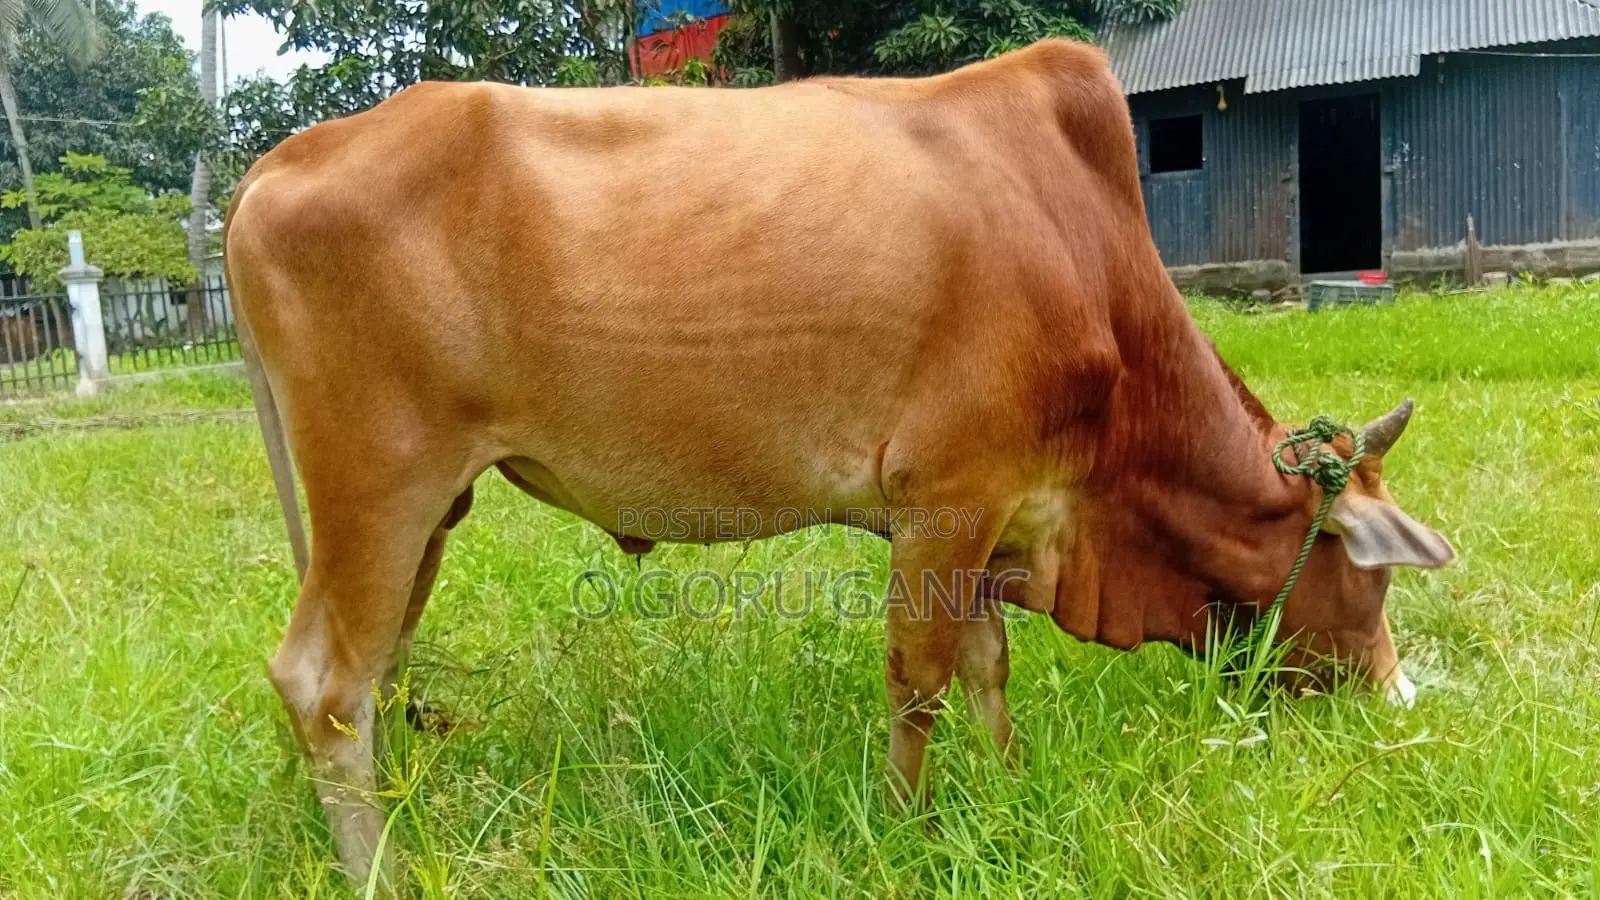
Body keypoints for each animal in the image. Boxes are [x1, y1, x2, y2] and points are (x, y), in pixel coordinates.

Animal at [223, 40, 1455, 890]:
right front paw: (909, 832)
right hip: (379, 487)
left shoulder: (989, 517)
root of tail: (280, 162)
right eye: (1374, 579)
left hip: (430, 509)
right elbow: (920, 682)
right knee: (325, 685)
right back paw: (378, 871)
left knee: (379, 676)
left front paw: (1009, 787)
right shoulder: (945, 501)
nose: (1396, 694)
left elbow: (986, 667)